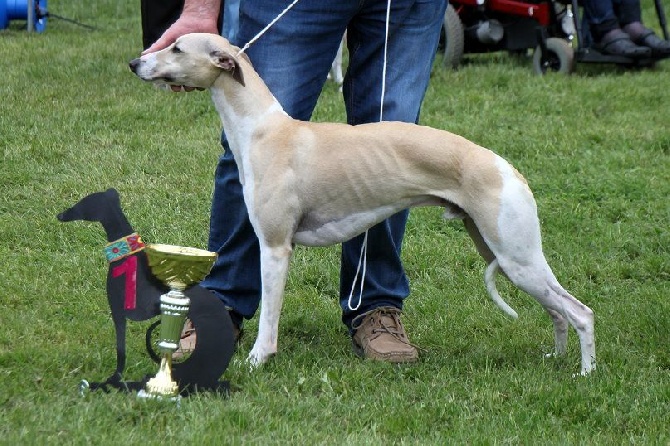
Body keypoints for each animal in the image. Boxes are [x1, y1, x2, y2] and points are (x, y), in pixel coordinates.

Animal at [130, 33, 600, 374]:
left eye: (176, 47)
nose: (135, 63)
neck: (265, 130)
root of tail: (508, 168)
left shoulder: (276, 247)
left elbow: (269, 317)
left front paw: (258, 360)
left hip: (519, 258)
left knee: (581, 312)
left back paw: (586, 373)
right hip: (505, 256)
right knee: (558, 313)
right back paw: (557, 360)